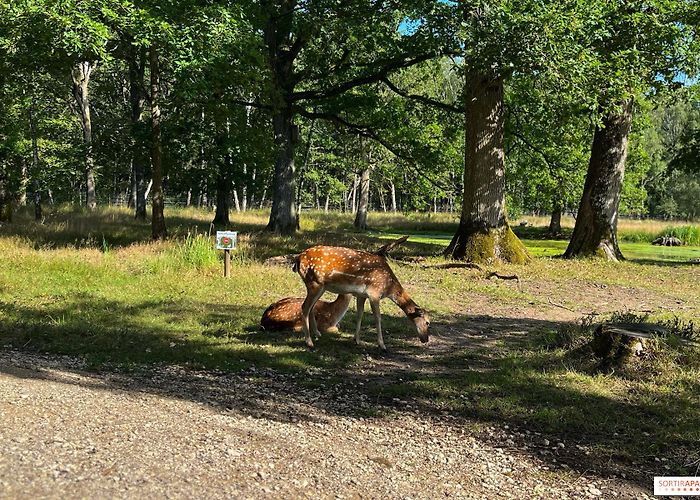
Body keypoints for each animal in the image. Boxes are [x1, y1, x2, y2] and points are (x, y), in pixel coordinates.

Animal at [293, 236, 430, 351]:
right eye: (427, 322)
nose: (426, 339)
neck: (389, 286)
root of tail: (298, 259)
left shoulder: (361, 295)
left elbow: (359, 314)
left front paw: (357, 340)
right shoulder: (374, 293)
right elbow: (378, 317)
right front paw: (382, 345)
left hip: (320, 287)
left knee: (311, 307)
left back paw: (317, 333)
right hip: (314, 283)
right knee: (305, 307)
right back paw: (309, 342)